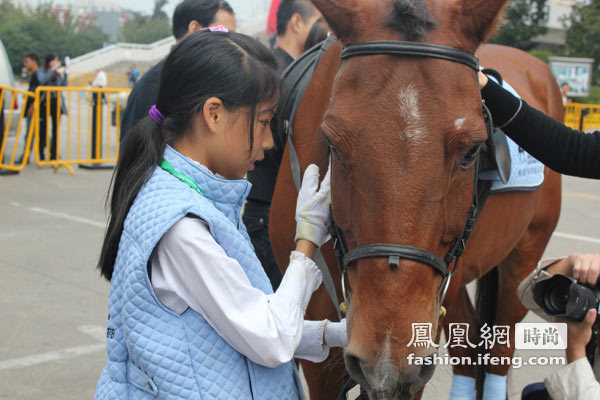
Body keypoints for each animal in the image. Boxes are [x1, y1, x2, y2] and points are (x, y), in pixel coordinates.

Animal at [270, 0, 560, 400]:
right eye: (333, 145)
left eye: (473, 150)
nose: (388, 355)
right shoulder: (317, 340)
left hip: (522, 260)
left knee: (500, 348)